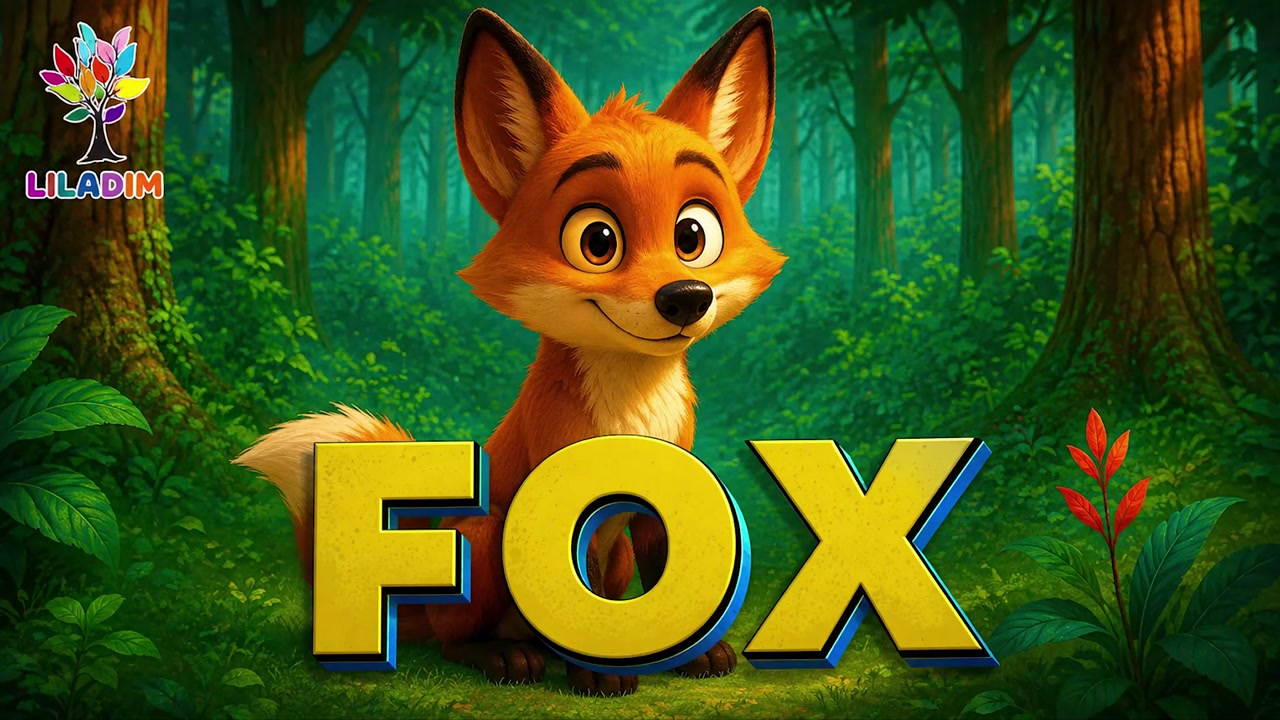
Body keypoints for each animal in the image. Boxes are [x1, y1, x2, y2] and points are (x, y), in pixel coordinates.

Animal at [234, 6, 784, 698]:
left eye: (693, 234)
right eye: (598, 240)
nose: (685, 297)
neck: (631, 411)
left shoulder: (663, 490)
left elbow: (666, 578)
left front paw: (687, 655)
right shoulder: (563, 496)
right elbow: (578, 599)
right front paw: (597, 674)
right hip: (487, 534)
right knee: (456, 642)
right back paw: (505, 657)